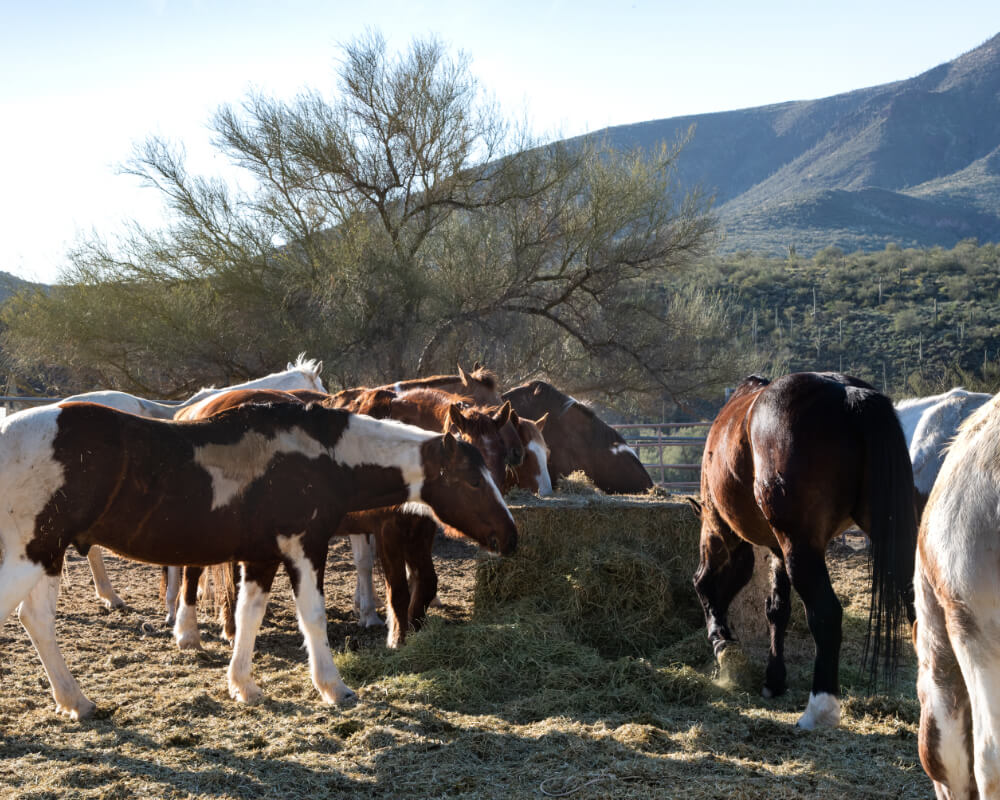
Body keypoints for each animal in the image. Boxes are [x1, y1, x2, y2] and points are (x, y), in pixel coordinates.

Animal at [0, 399, 516, 719]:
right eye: (473, 480)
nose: (510, 537)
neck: (322, 456)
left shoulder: (262, 557)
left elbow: (249, 616)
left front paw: (243, 686)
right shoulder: (304, 547)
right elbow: (313, 617)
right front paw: (334, 688)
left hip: (47, 558)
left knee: (36, 619)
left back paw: (76, 701)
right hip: (34, 555)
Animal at [688, 372, 917, 729]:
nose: (722, 636)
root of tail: (847, 394)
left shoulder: (719, 526)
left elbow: (708, 579)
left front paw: (721, 638)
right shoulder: (779, 550)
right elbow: (776, 609)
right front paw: (773, 679)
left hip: (799, 547)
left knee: (827, 614)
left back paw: (819, 710)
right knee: (917, 604)